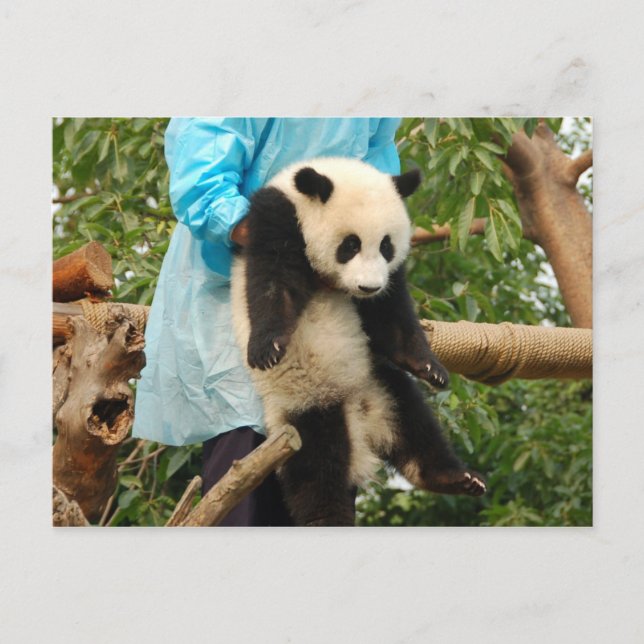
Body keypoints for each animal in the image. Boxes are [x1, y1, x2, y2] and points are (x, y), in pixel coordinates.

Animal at [230, 157, 486, 526]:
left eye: (386, 246)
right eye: (350, 245)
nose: (368, 286)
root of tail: (358, 415)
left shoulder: (386, 284)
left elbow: (391, 316)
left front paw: (431, 368)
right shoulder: (276, 218)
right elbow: (274, 284)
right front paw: (267, 348)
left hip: (379, 383)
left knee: (415, 423)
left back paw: (453, 478)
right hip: (303, 416)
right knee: (318, 482)